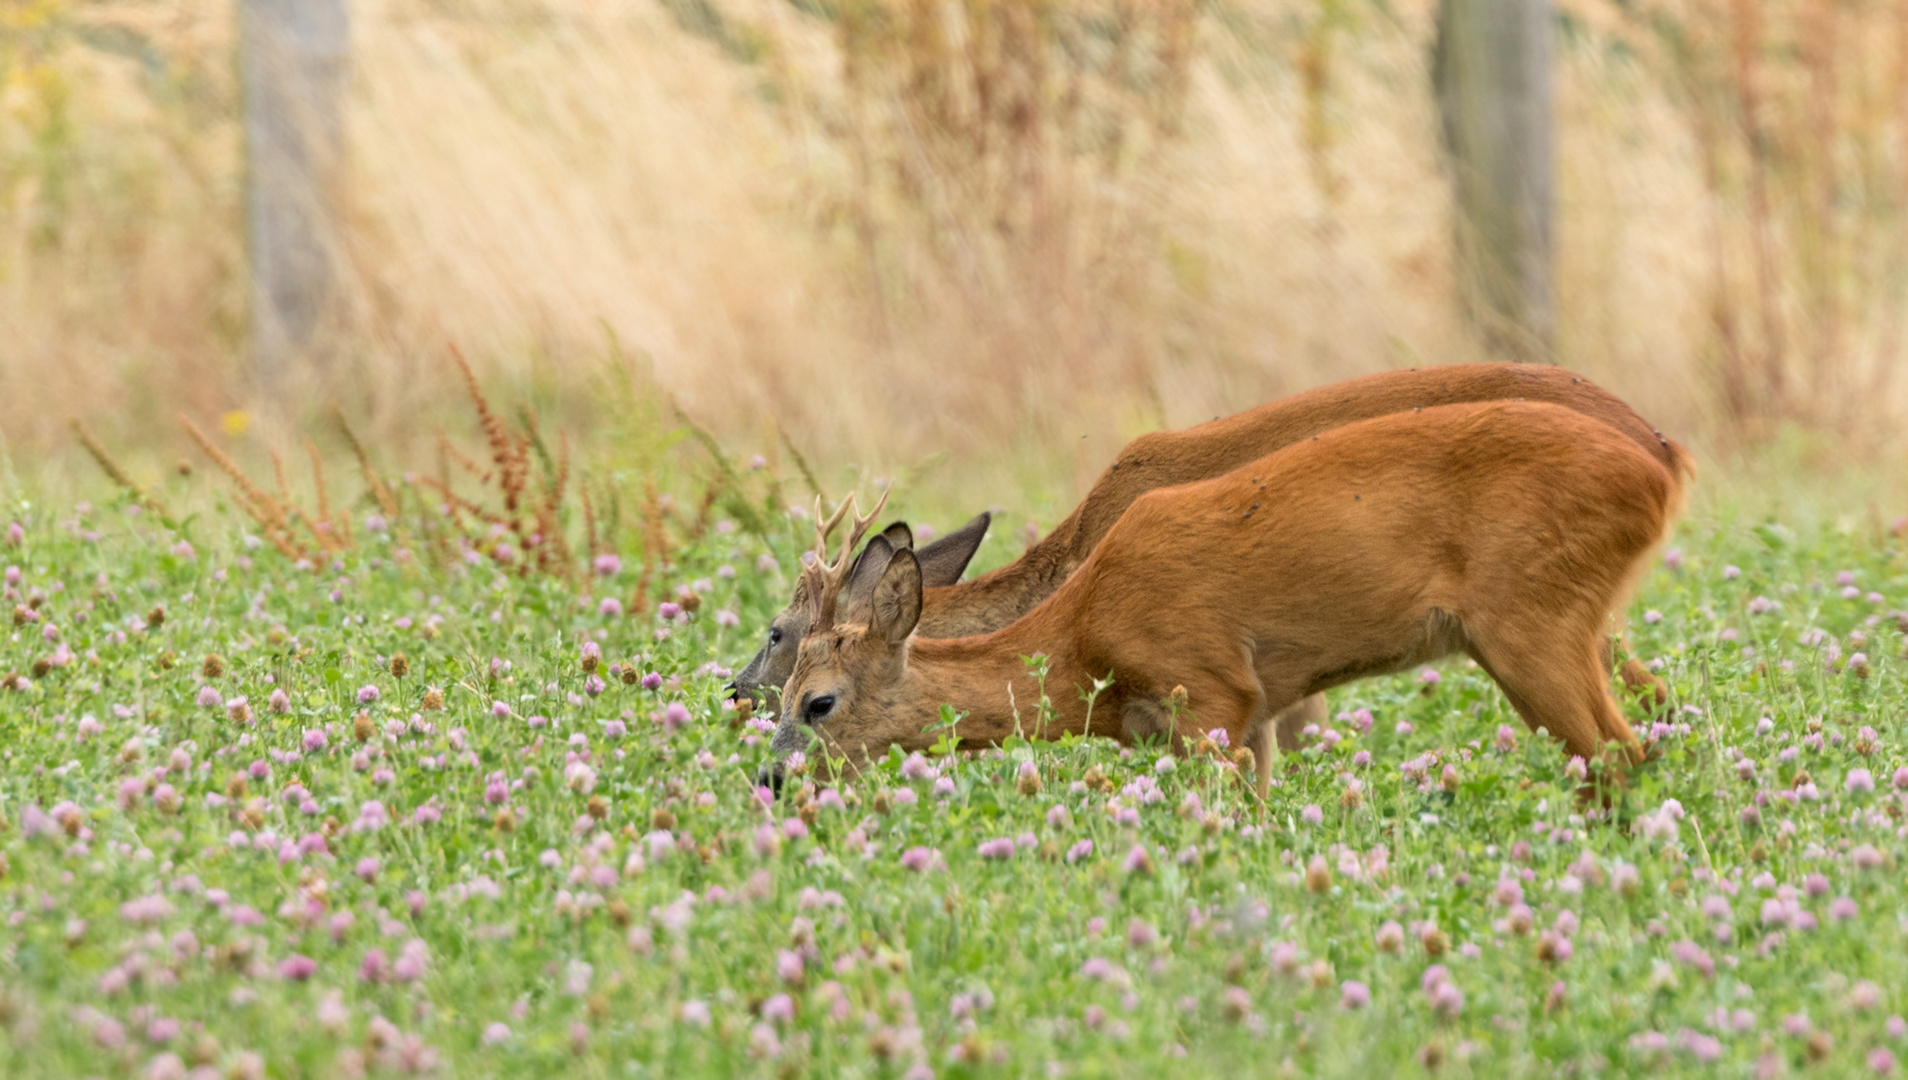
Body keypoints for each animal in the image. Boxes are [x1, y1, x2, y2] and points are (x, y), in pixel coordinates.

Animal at [767, 402, 1694, 801]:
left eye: (819, 702)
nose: (772, 779)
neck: (1082, 643)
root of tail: (1665, 473)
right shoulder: (1256, 715)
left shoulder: (1209, 687)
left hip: (1532, 618)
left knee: (1620, 755)